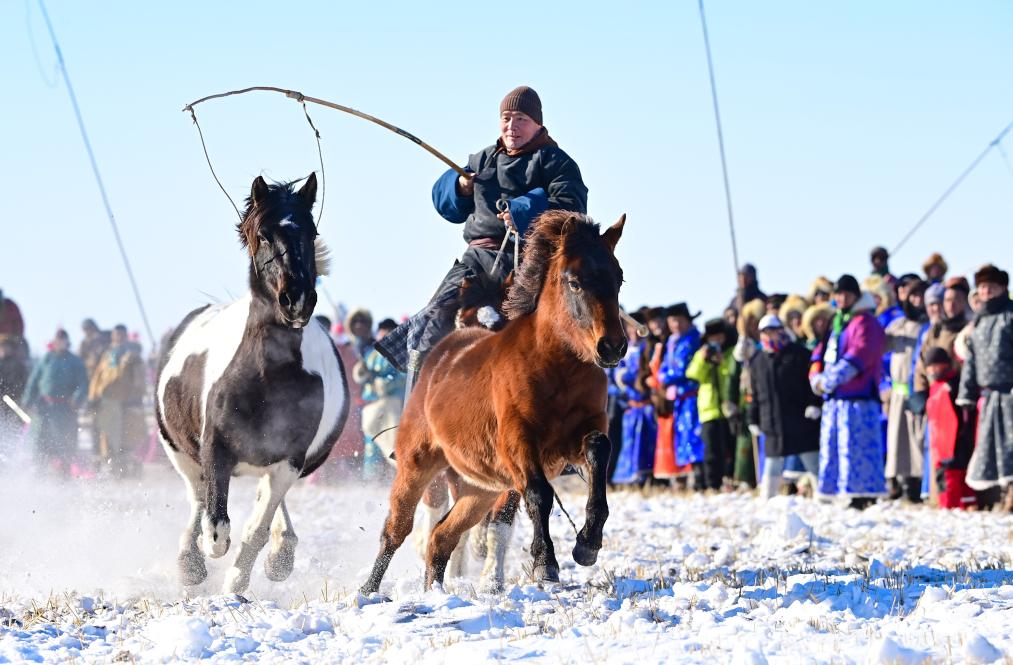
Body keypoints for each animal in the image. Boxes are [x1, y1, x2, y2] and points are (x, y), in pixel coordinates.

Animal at [156, 174, 348, 596]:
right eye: (262, 234)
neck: (266, 377)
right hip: (177, 450)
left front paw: (238, 581)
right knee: (196, 498)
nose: (297, 300)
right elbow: (215, 529)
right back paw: (189, 563)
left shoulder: (291, 459)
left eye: (311, 232)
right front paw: (201, 560)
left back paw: (280, 553)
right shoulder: (215, 450)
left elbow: (256, 528)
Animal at [360, 210, 619, 596]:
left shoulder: (577, 437)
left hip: (479, 488)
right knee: (398, 529)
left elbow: (599, 451)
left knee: (443, 537)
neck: (557, 368)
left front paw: (587, 544)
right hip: (417, 464)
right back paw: (367, 591)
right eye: (574, 282)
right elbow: (539, 494)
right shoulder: (517, 445)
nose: (612, 346)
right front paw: (545, 562)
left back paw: (436, 592)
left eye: (617, 278)